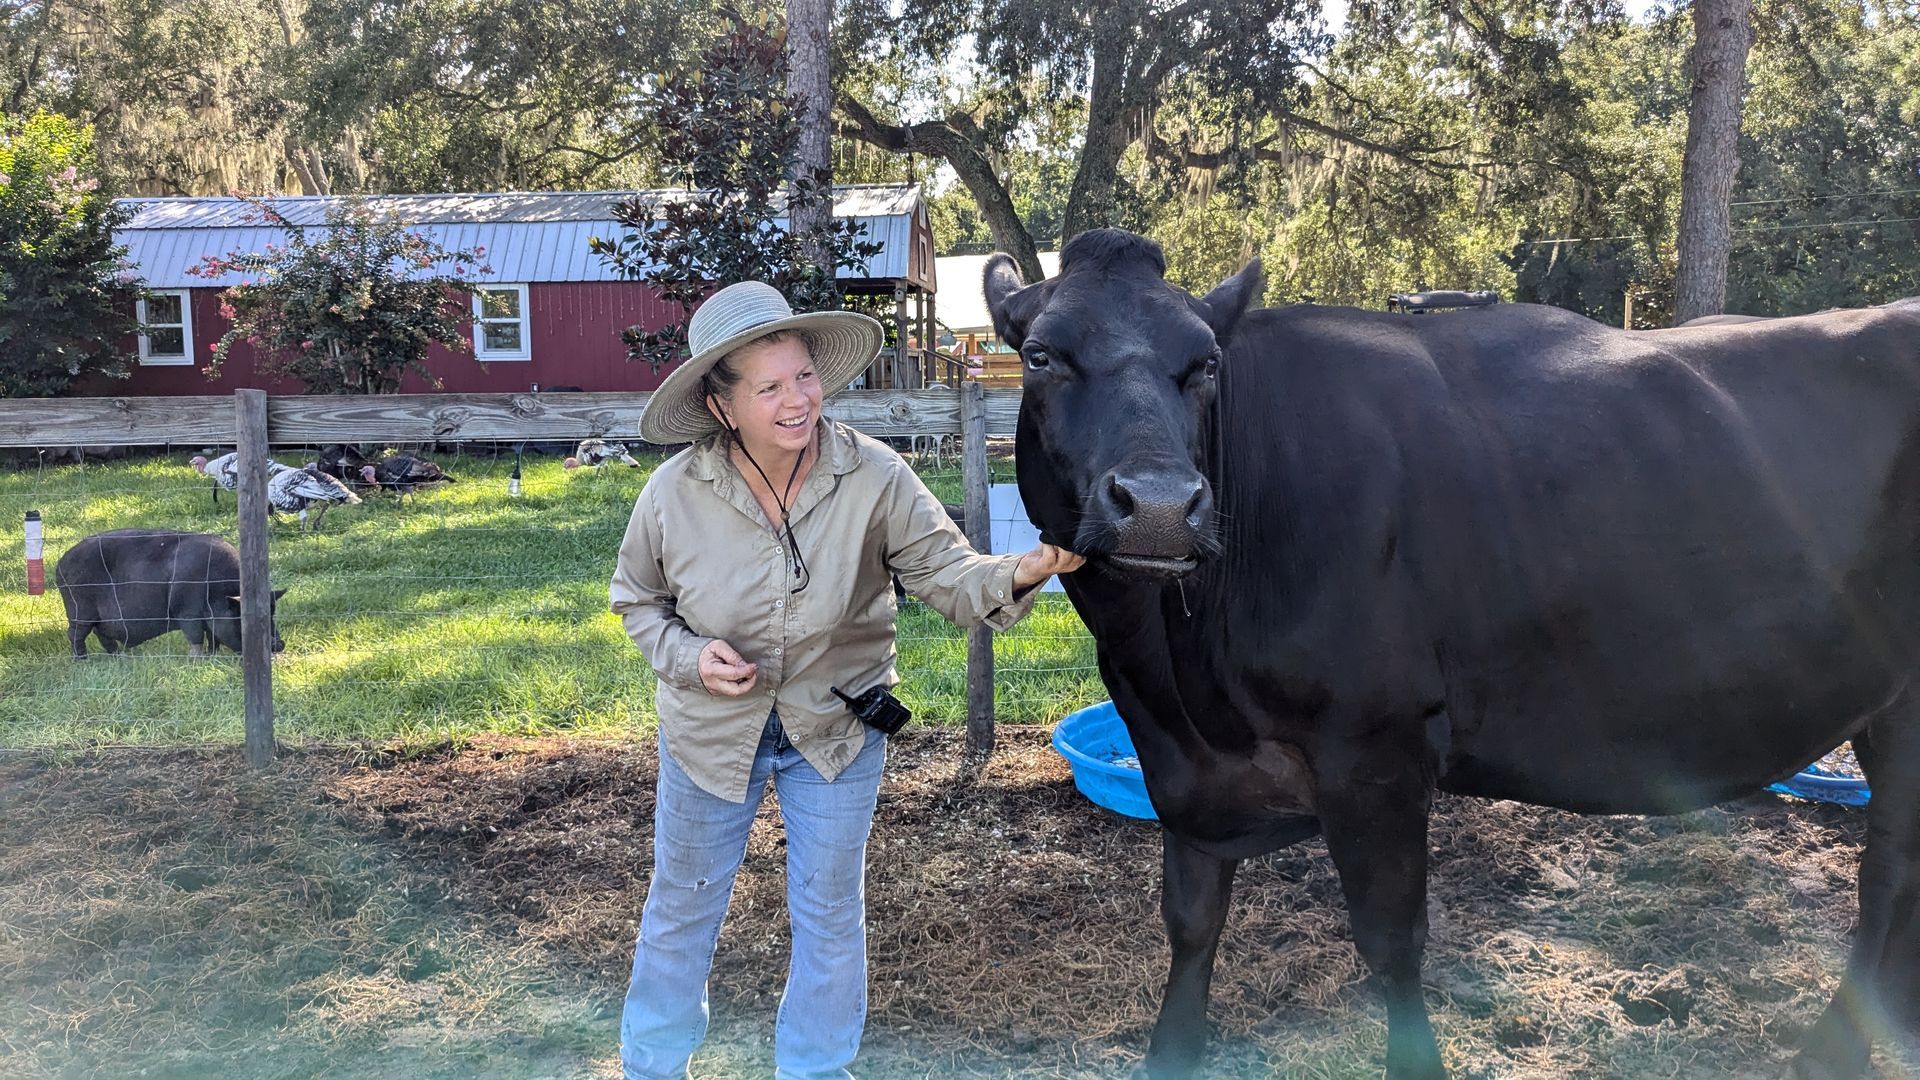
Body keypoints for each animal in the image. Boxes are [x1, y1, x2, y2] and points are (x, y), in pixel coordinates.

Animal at [55, 530, 285, 658]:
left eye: (272, 614)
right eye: (241, 619)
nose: (280, 644)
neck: (216, 590)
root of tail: (60, 563)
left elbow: (213, 637)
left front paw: (213, 655)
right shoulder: (187, 613)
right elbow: (195, 637)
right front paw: (197, 659)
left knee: (101, 634)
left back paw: (118, 656)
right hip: (80, 610)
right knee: (75, 634)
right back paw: (82, 660)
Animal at [986, 227, 1920, 1080]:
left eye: (1206, 363)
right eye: (1039, 355)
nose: (1158, 505)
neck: (1174, 674)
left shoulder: (1374, 749)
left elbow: (1390, 943)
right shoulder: (1185, 770)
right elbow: (1190, 922)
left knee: (1889, 869)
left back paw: (1835, 1049)